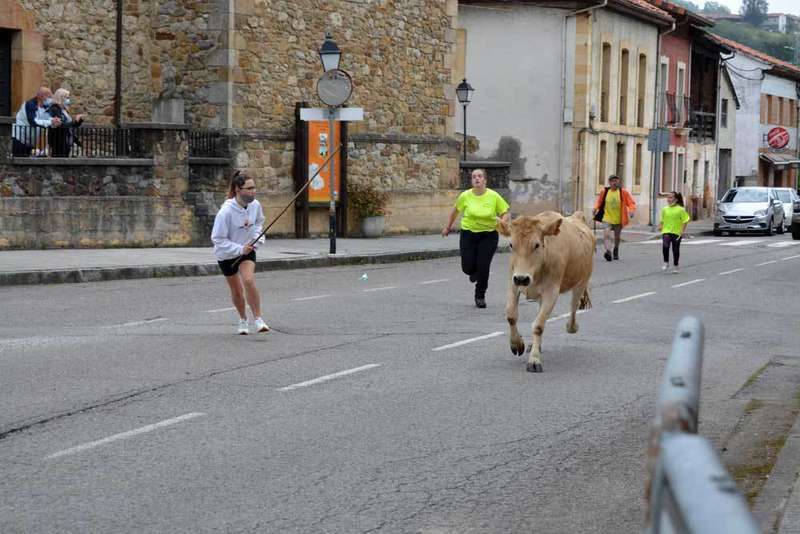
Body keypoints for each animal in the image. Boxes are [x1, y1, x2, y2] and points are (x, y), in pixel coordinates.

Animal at [497, 211, 595, 373]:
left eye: (536, 245)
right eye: (511, 244)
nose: (522, 278)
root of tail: (577, 217)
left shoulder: (551, 291)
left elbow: (538, 326)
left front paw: (534, 360)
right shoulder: (513, 283)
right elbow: (511, 315)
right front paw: (517, 344)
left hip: (582, 280)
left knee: (574, 305)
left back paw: (572, 326)